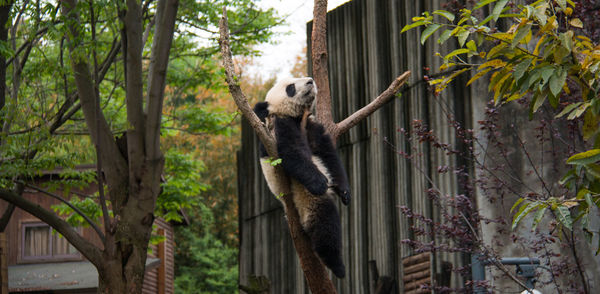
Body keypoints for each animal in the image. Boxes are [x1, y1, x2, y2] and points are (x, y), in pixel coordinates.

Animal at [253, 77, 352, 280]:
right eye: (290, 88)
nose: (310, 81)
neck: (298, 117)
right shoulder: (279, 128)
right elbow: (293, 154)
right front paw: (320, 182)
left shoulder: (312, 125)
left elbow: (328, 154)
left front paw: (345, 192)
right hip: (304, 196)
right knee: (325, 224)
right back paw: (338, 266)